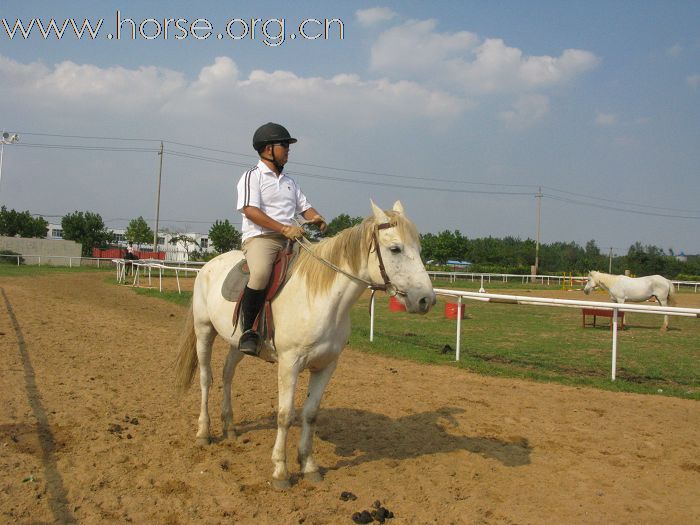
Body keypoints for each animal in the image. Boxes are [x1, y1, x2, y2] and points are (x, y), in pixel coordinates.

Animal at [173, 201, 434, 488]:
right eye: (395, 248)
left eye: (419, 249)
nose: (426, 300)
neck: (321, 298)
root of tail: (208, 266)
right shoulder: (289, 364)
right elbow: (285, 415)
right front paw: (280, 471)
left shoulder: (326, 366)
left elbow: (310, 413)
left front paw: (309, 466)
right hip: (204, 331)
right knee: (206, 379)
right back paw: (204, 432)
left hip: (236, 343)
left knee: (227, 374)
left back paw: (229, 427)